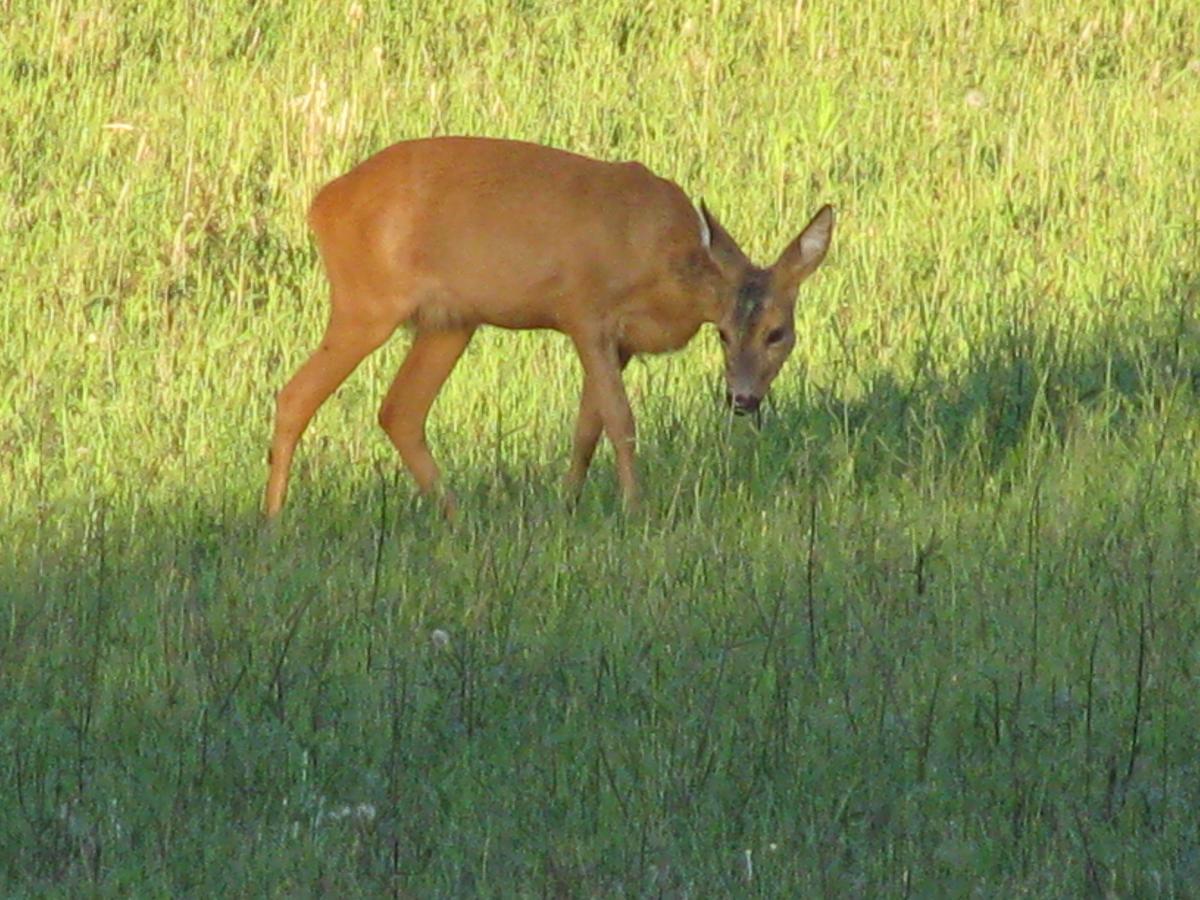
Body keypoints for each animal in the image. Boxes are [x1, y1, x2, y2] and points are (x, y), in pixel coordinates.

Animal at [266, 139, 835, 520]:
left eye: (778, 333)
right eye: (724, 334)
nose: (743, 399)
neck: (664, 262)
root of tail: (321, 204)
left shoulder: (618, 342)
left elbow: (588, 426)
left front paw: (568, 503)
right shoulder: (584, 310)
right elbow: (621, 420)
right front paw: (636, 509)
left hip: (449, 321)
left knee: (400, 410)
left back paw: (458, 516)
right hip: (366, 301)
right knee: (296, 394)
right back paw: (272, 521)